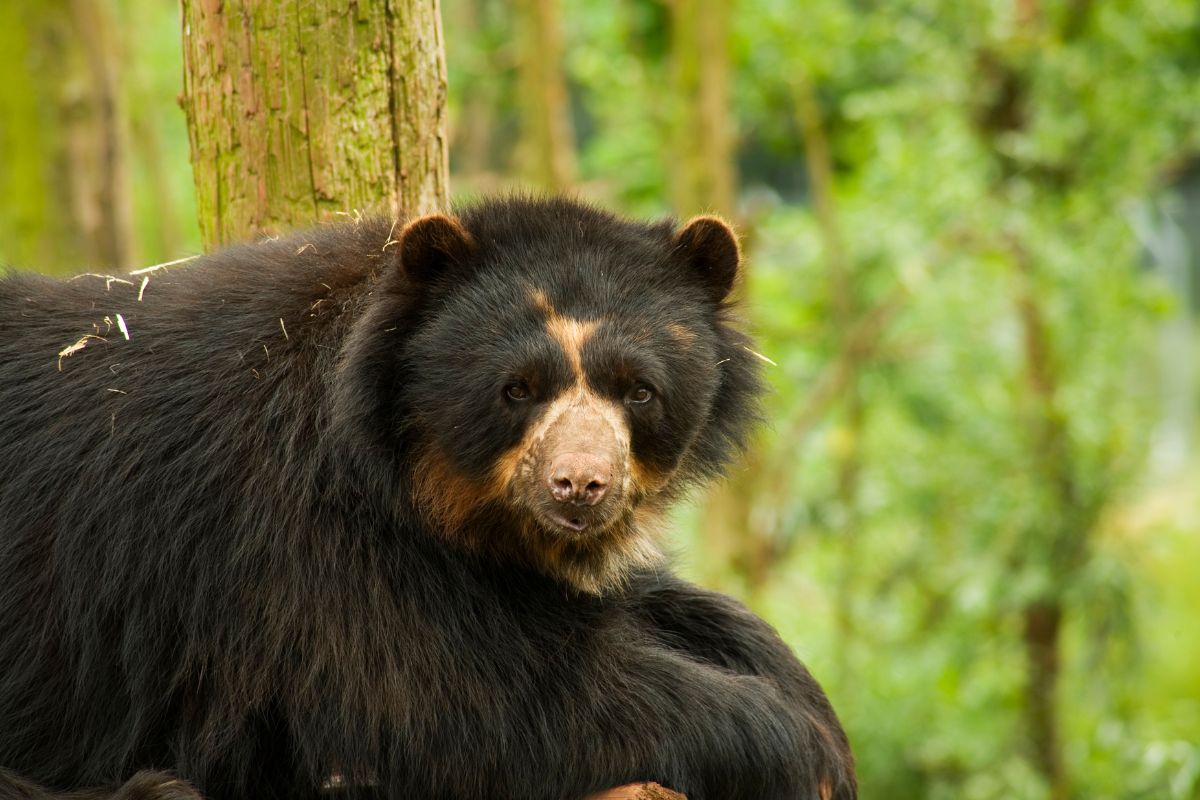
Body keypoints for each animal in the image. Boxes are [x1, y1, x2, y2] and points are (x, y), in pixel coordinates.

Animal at [0, 195, 854, 800]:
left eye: (638, 390)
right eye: (518, 389)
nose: (581, 485)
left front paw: (806, 700)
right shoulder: (306, 548)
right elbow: (474, 706)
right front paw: (804, 752)